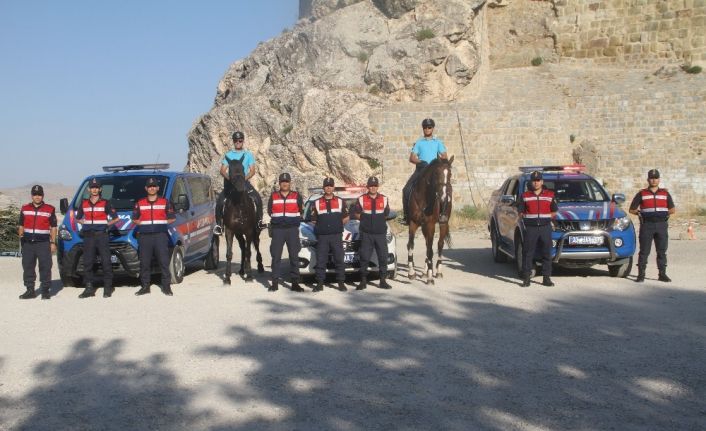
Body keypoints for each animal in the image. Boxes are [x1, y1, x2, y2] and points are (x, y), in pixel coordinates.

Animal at [224, 157, 262, 286]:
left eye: (242, 168)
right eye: (230, 169)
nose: (240, 187)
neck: (239, 206)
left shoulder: (249, 231)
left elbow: (249, 252)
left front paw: (249, 276)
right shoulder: (229, 231)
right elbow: (229, 254)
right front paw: (227, 278)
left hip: (255, 231)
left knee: (255, 245)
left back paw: (260, 267)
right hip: (238, 233)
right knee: (242, 247)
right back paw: (241, 269)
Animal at [404, 157, 454, 286]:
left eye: (450, 174)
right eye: (436, 173)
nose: (443, 197)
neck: (423, 198)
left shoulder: (431, 225)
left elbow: (431, 250)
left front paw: (430, 278)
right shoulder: (413, 223)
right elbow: (411, 245)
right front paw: (411, 273)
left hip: (442, 223)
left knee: (439, 245)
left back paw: (438, 271)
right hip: (423, 227)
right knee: (427, 245)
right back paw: (425, 271)